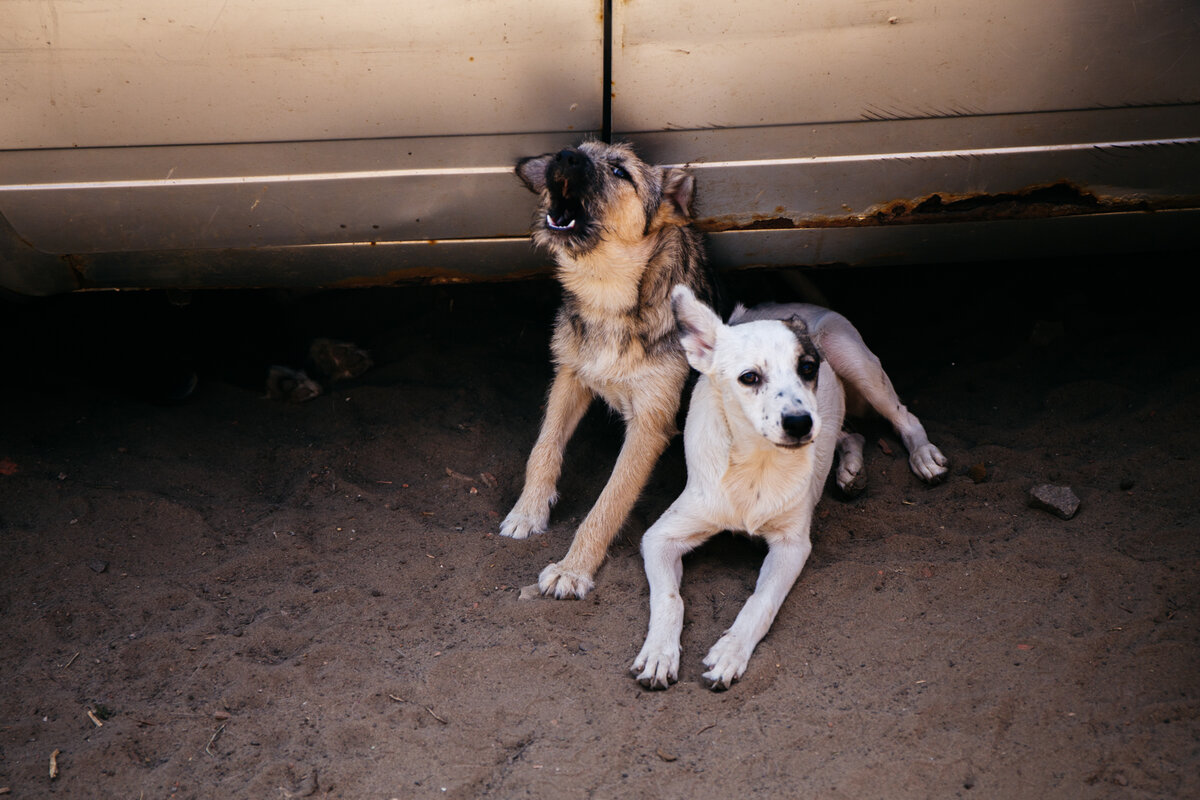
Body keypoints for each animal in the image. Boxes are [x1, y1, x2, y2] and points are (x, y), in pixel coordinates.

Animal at [499, 140, 720, 597]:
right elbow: (543, 448)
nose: (563, 156)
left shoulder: (649, 426)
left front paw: (572, 568)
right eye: (578, 150)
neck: (608, 296)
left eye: (620, 171)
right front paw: (528, 512)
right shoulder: (569, 376)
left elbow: (608, 502)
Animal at [628, 286, 945, 690]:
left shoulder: (792, 545)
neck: (756, 465)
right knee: (850, 432)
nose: (799, 423)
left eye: (808, 368)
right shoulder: (660, 536)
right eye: (749, 377)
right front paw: (658, 653)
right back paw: (850, 470)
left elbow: (760, 601)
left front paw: (730, 652)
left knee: (904, 416)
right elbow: (669, 598)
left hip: (855, 361)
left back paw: (922, 456)